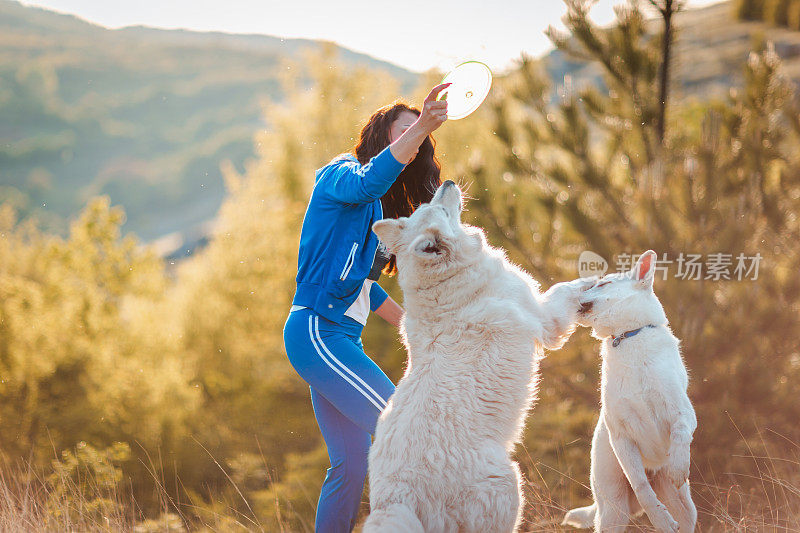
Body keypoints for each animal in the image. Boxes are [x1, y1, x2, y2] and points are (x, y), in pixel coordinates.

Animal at [366, 181, 592, 528]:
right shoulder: (545, 320)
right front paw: (596, 283)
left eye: (428, 206)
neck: (449, 283)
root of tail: (395, 499)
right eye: (442, 211)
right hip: (509, 484)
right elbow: (565, 289)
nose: (448, 183)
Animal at [560, 250, 696, 532]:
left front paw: (679, 465)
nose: (573, 290)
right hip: (614, 510)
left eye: (603, 284)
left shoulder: (682, 411)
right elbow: (642, 488)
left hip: (685, 507)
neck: (628, 336)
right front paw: (661, 519)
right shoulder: (621, 436)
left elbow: (680, 434)